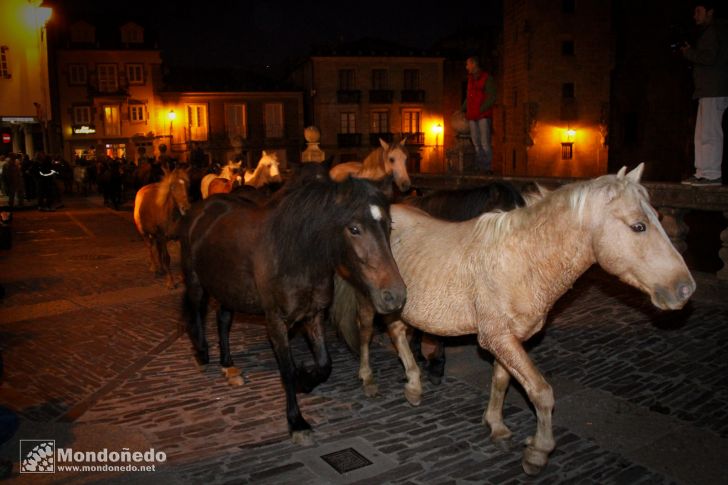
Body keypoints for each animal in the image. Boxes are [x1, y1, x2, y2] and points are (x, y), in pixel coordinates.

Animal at [176, 176, 404, 444]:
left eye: (389, 225)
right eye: (354, 229)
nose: (395, 296)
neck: (295, 257)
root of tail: (201, 209)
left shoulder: (313, 316)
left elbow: (325, 364)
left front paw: (304, 381)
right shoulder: (275, 322)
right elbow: (285, 370)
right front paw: (297, 422)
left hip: (229, 289)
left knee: (222, 318)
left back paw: (228, 366)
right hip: (196, 282)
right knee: (196, 312)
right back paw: (202, 353)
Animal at [332, 164, 696, 474]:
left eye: (658, 218)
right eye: (638, 226)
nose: (685, 288)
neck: (521, 259)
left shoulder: (509, 337)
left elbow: (501, 381)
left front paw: (496, 425)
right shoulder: (498, 337)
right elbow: (541, 391)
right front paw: (537, 452)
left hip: (401, 304)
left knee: (397, 331)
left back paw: (414, 384)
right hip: (371, 300)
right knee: (366, 331)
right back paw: (369, 379)